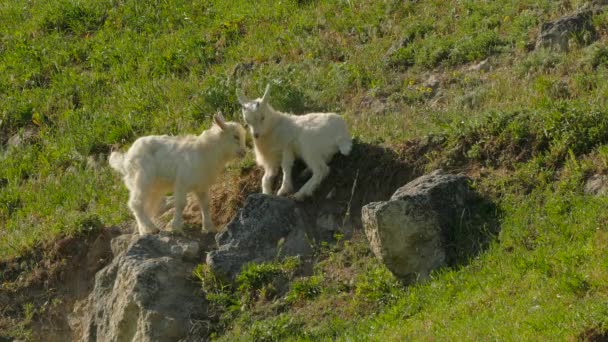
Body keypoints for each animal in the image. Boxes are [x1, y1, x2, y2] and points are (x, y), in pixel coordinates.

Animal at [108, 114, 246, 235]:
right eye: (235, 137)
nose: (244, 152)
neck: (206, 151)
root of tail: (126, 159)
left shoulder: (202, 185)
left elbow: (205, 205)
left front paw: (209, 228)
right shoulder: (182, 182)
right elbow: (181, 204)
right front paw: (176, 228)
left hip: (154, 188)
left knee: (145, 206)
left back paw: (144, 231)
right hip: (141, 179)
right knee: (135, 203)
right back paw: (151, 228)